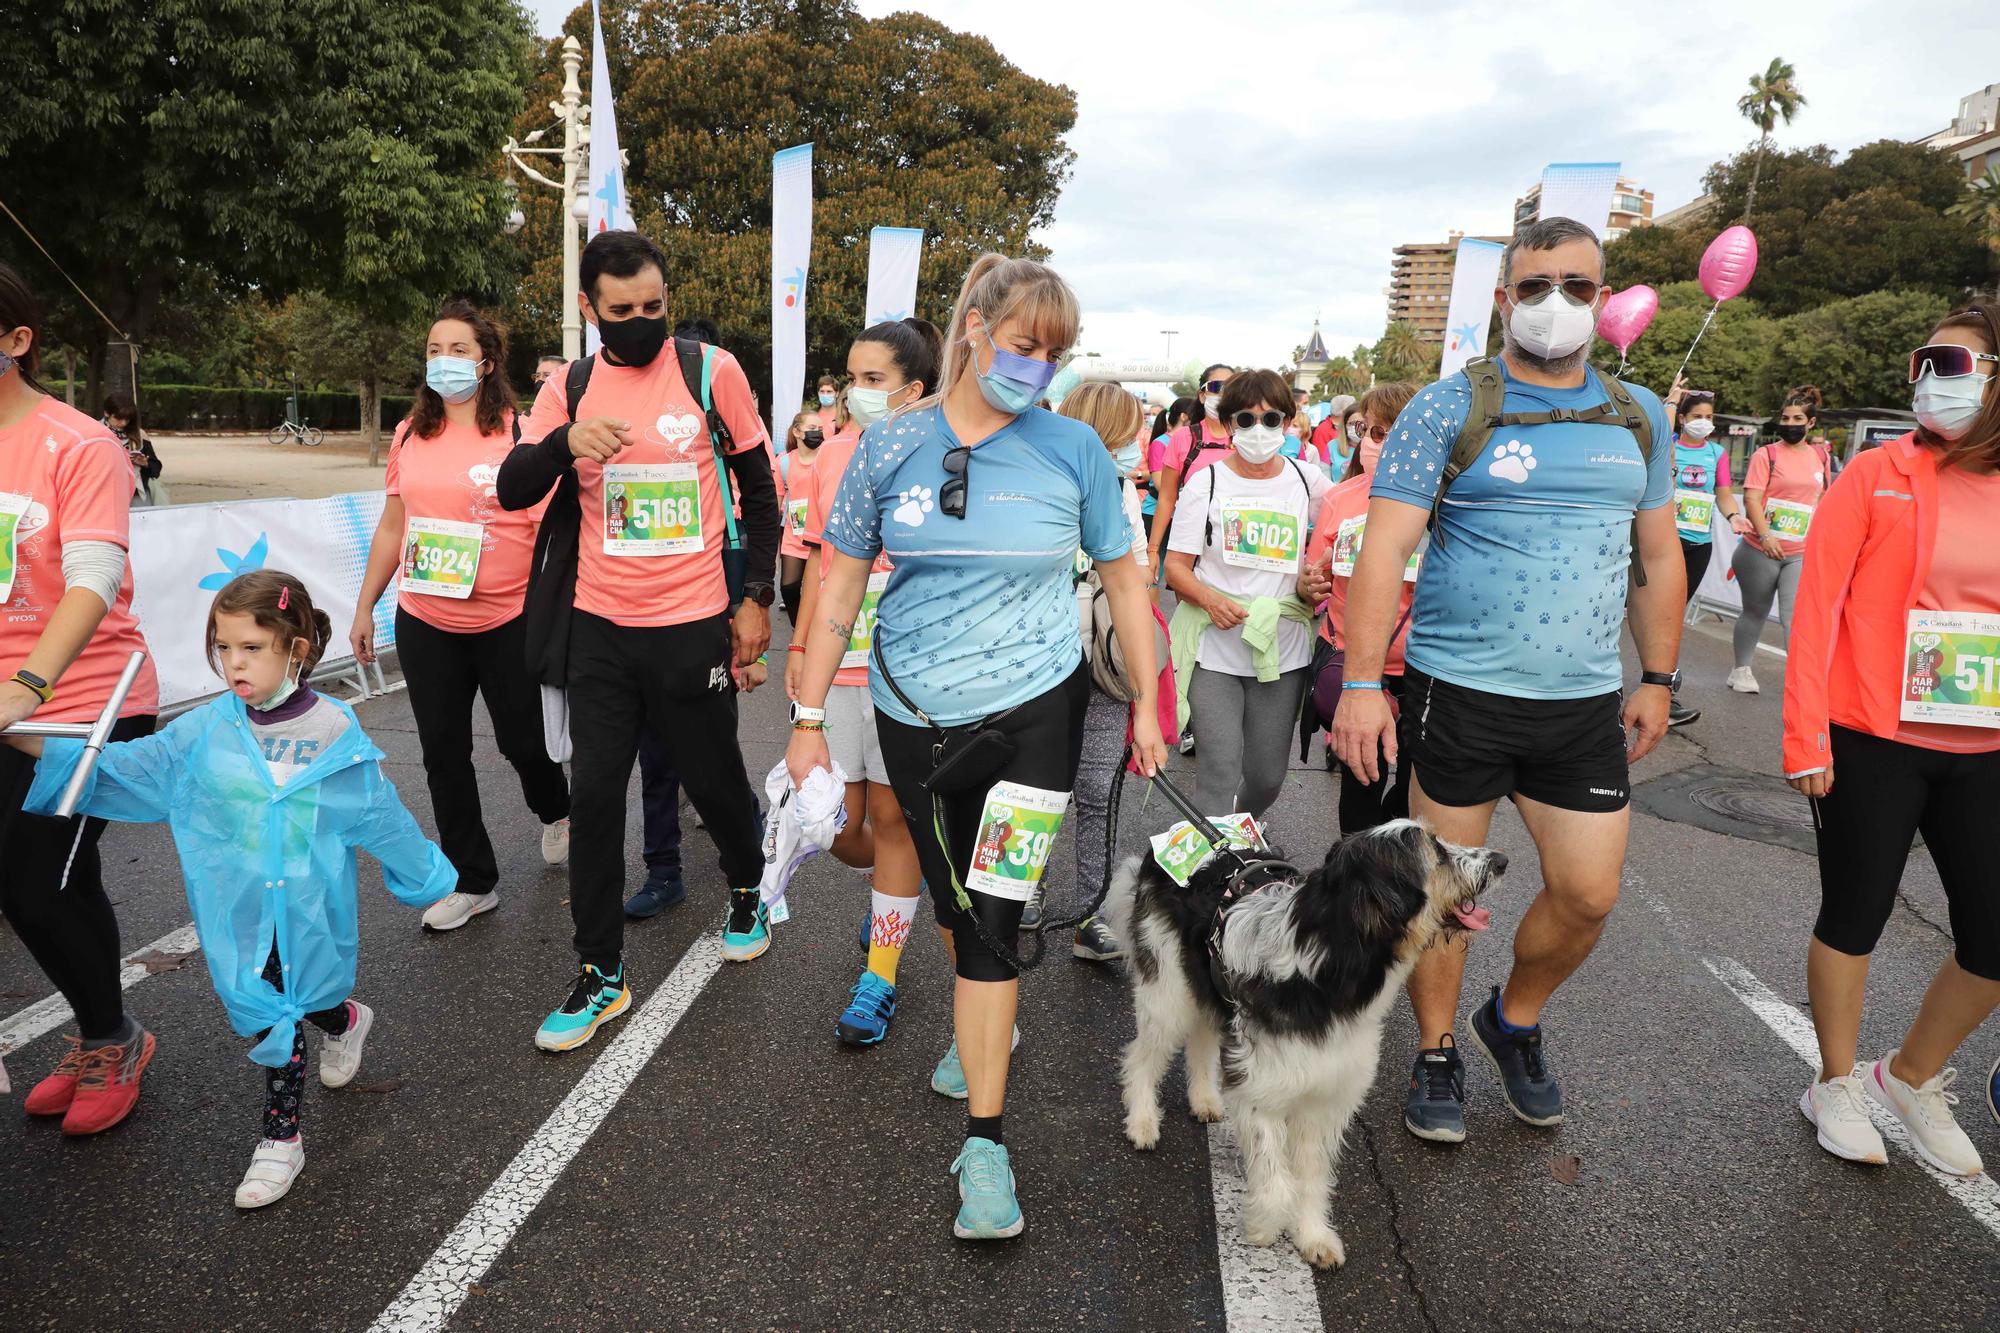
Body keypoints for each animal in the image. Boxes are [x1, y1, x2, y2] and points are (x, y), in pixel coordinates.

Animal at [1104, 816, 1504, 1264]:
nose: (1501, 860)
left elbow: (1312, 1177)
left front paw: (1313, 1235)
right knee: (1141, 1059)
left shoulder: (1324, 1099)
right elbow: (1278, 1183)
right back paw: (1142, 1120)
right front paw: (1262, 1227)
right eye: (1435, 851)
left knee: (1203, 1039)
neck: (1329, 965)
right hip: (1168, 992)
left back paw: (1205, 1098)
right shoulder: (1261, 1091)